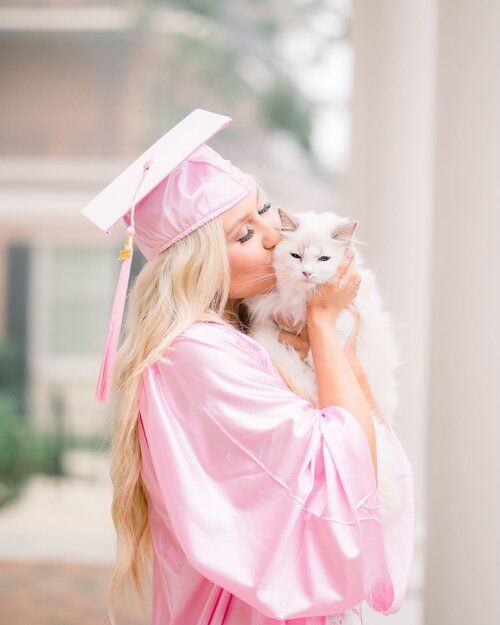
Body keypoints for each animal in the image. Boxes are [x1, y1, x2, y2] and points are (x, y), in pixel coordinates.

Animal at [244, 206, 408, 520]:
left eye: (323, 259)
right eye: (296, 256)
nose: (307, 272)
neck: (303, 302)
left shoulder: (350, 314)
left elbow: (338, 329)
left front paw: (311, 355)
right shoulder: (271, 316)